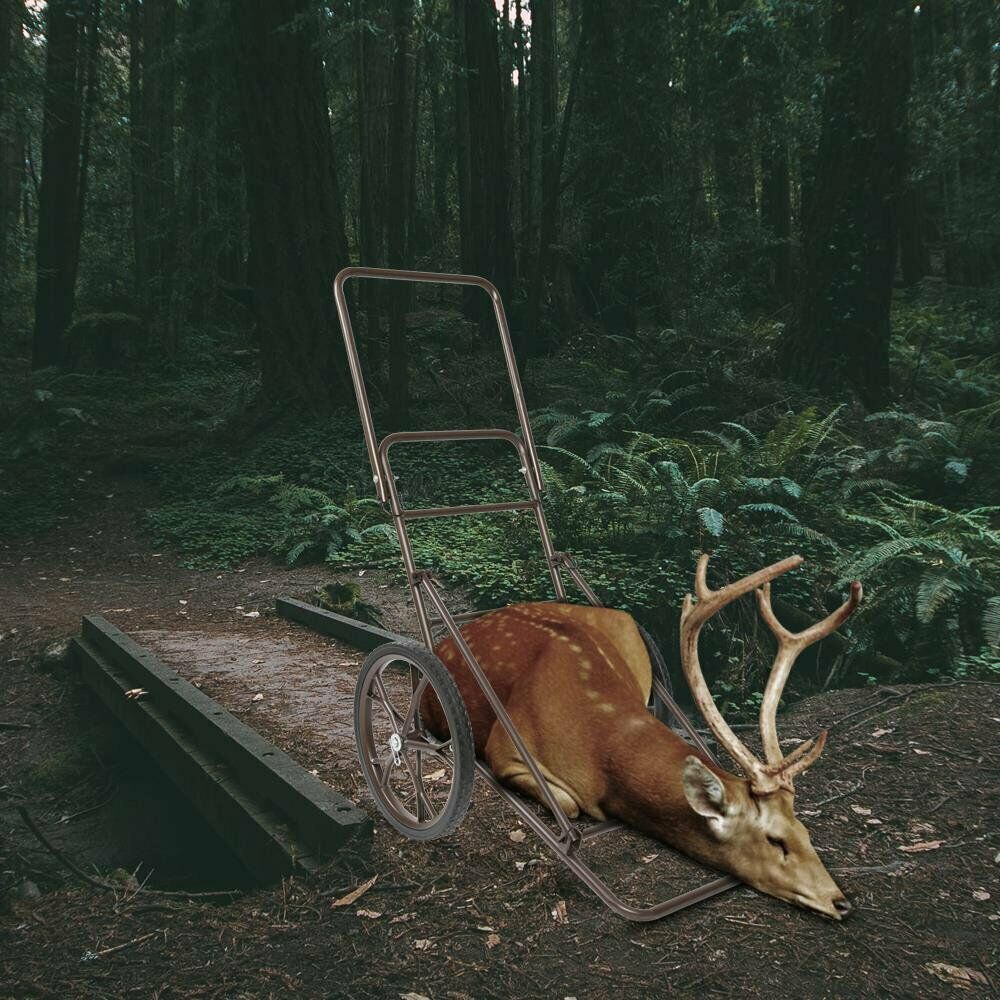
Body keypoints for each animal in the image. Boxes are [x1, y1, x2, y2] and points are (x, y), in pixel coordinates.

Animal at [425, 553, 862, 920]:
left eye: (806, 832)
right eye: (776, 841)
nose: (840, 901)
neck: (597, 743)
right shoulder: (505, 750)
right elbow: (569, 806)